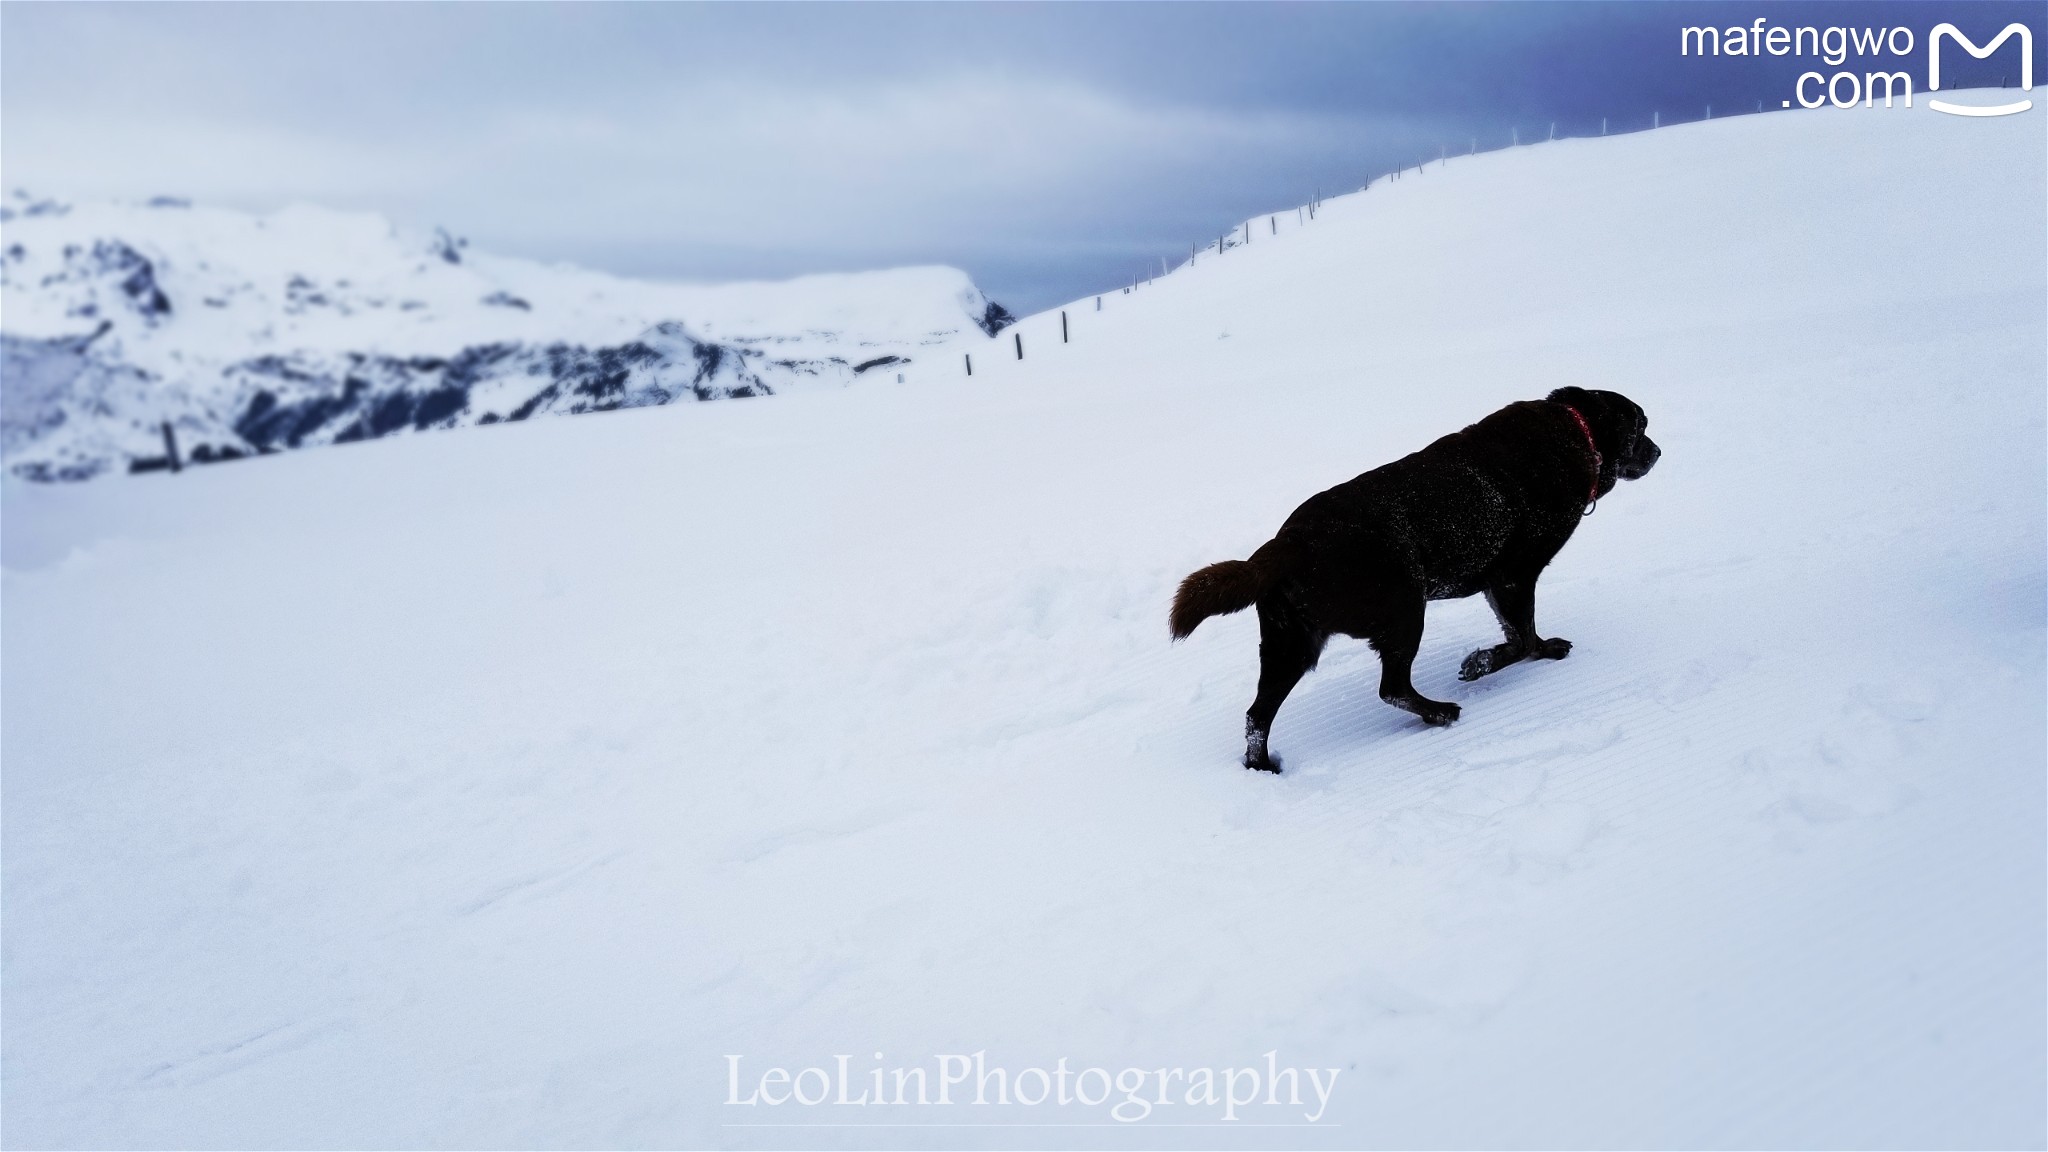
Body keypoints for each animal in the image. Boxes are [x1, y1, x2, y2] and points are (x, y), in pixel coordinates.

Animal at [1179, 385, 1654, 770]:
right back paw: (1439, 711)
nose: (1658, 451)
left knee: (1257, 715)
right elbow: (1519, 639)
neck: (1577, 433)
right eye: (1641, 425)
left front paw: (1541, 650)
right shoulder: (1513, 577)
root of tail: (1287, 545)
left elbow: (1526, 636)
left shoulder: (1503, 585)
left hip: (1290, 645)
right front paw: (1480, 664)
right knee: (1391, 686)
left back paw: (1262, 767)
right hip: (1405, 608)